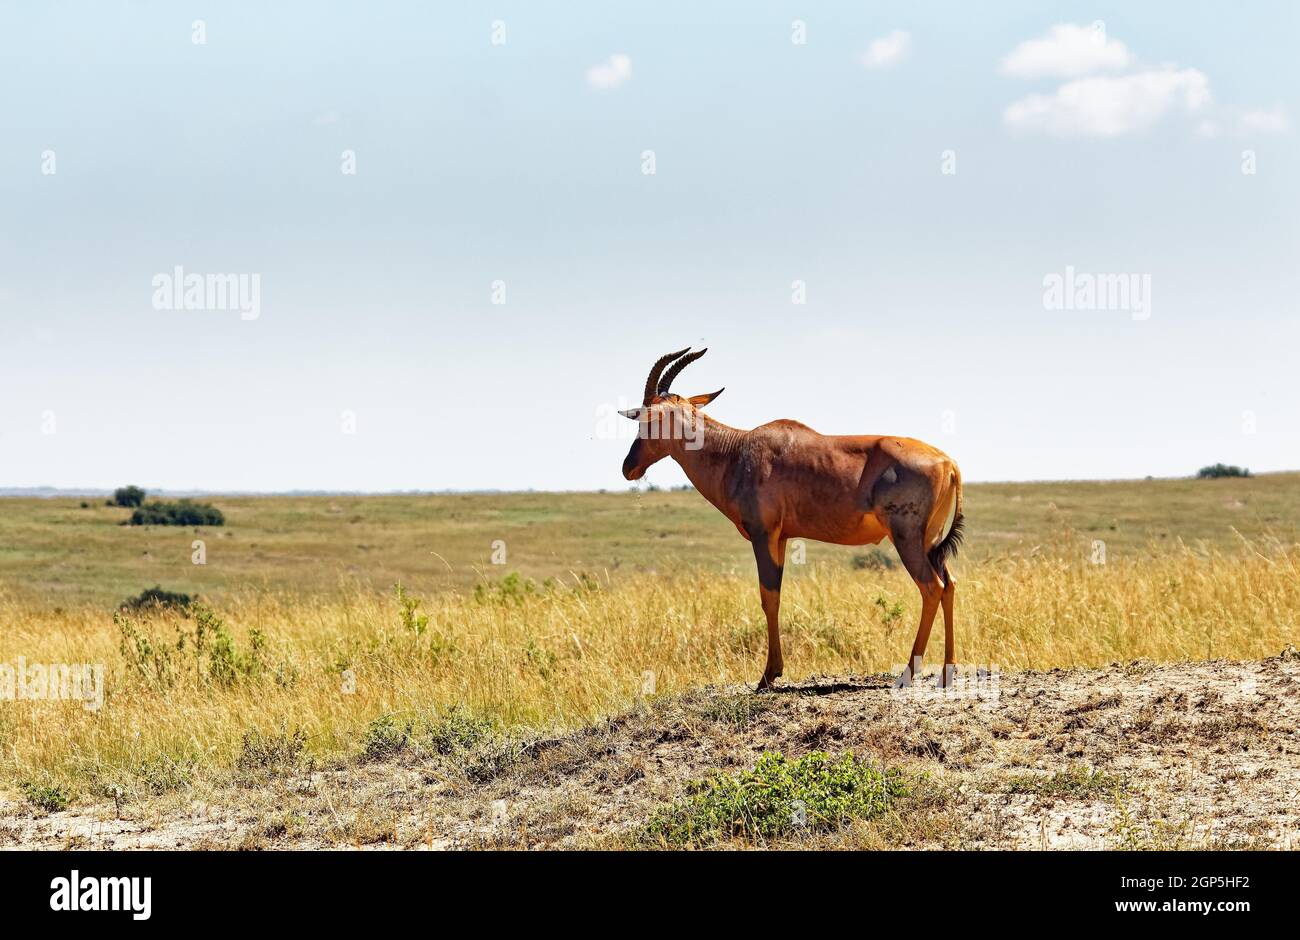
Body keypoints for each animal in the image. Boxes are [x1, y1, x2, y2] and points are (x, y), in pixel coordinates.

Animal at [618, 345, 967, 691]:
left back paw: (907, 674)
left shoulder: (763, 534)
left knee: (932, 587)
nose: (628, 467)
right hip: (930, 541)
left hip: (906, 537)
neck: (738, 450)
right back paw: (947, 673)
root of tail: (948, 462)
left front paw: (767, 677)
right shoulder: (782, 537)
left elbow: (768, 596)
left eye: (649, 420)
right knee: (949, 584)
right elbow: (776, 595)